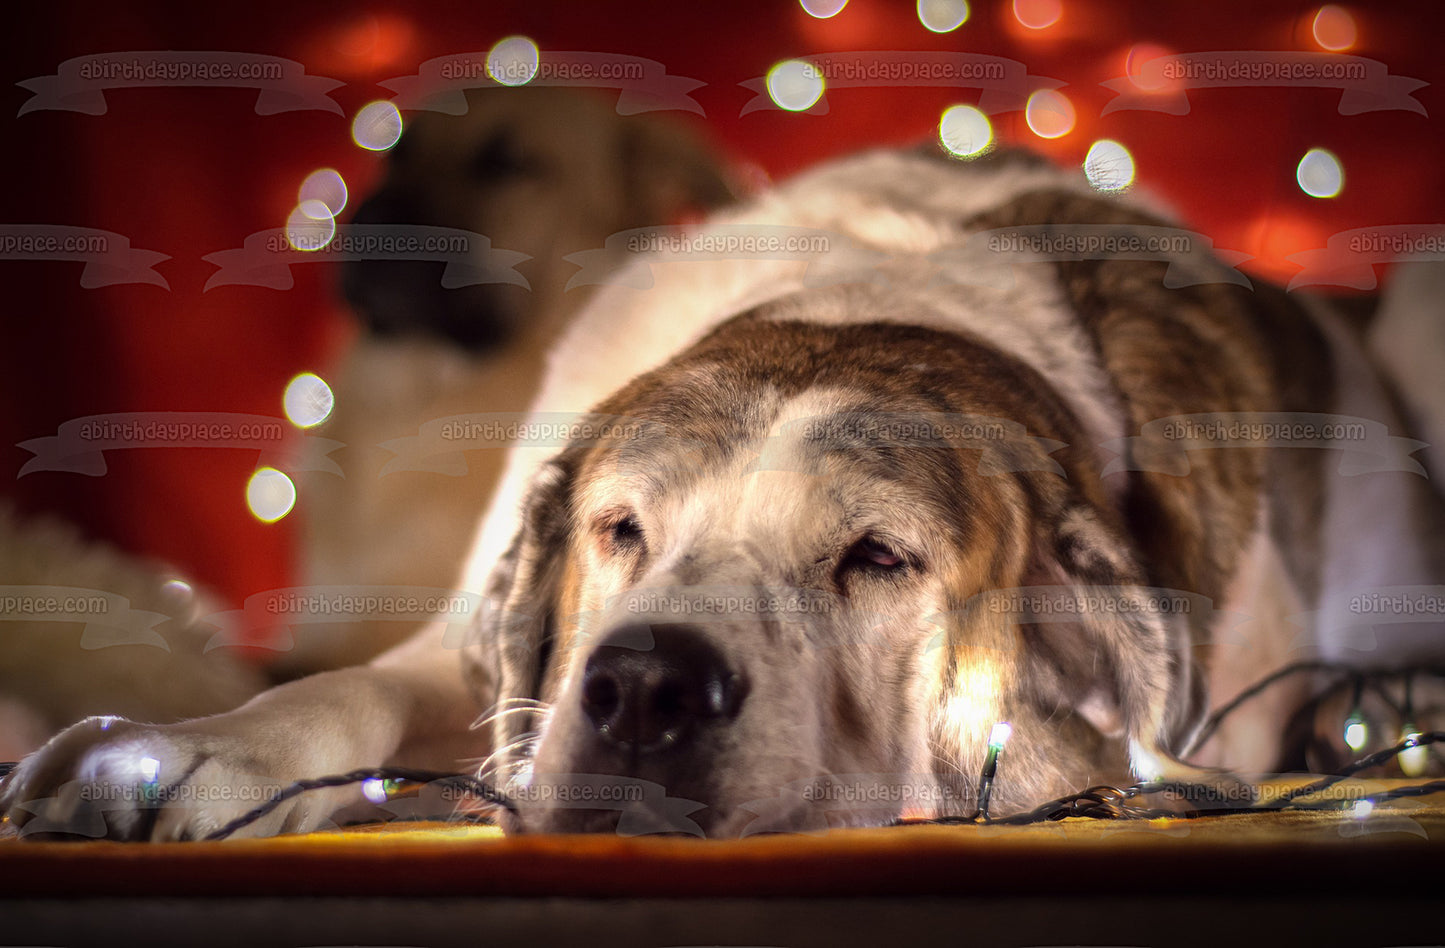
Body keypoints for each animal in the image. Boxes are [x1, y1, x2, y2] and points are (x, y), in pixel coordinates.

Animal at [2, 144, 1445, 838]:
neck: (865, 305)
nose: (646, 685)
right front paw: (176, 757)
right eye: (618, 530)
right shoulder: (481, 646)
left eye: (878, 559)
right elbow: (349, 688)